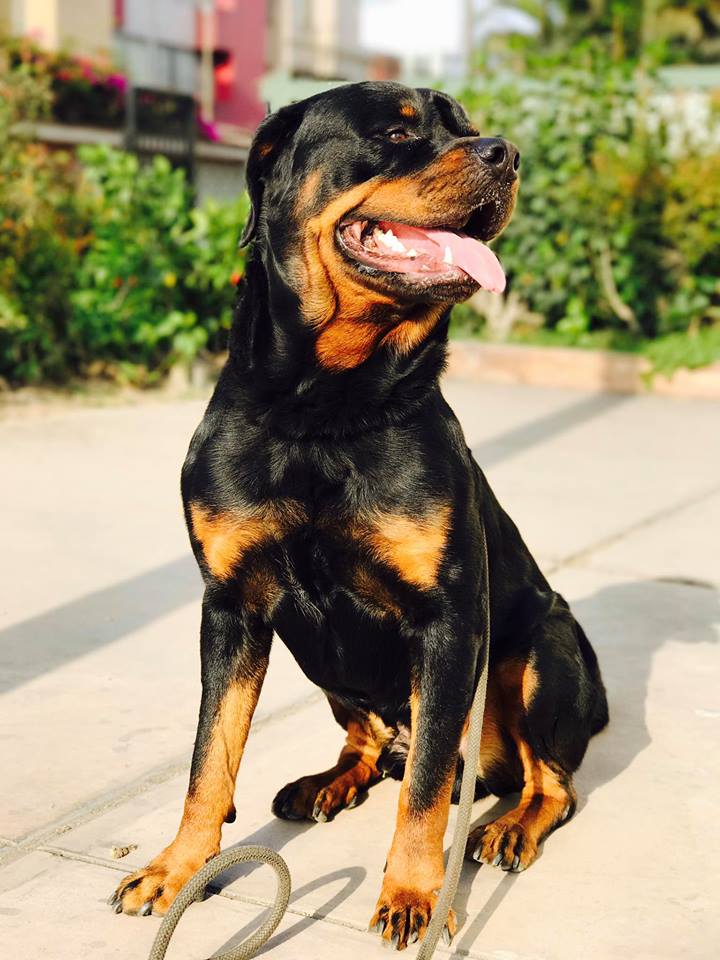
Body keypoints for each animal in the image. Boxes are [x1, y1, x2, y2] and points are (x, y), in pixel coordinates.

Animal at [111, 84, 608, 952]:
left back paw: (508, 826)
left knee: (545, 779)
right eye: (398, 131)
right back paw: (328, 782)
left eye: (468, 129)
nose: (506, 153)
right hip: (322, 662)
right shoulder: (231, 609)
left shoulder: (449, 623)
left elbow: (426, 791)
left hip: (543, 649)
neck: (324, 411)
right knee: (371, 743)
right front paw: (179, 870)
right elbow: (210, 758)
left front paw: (414, 894)